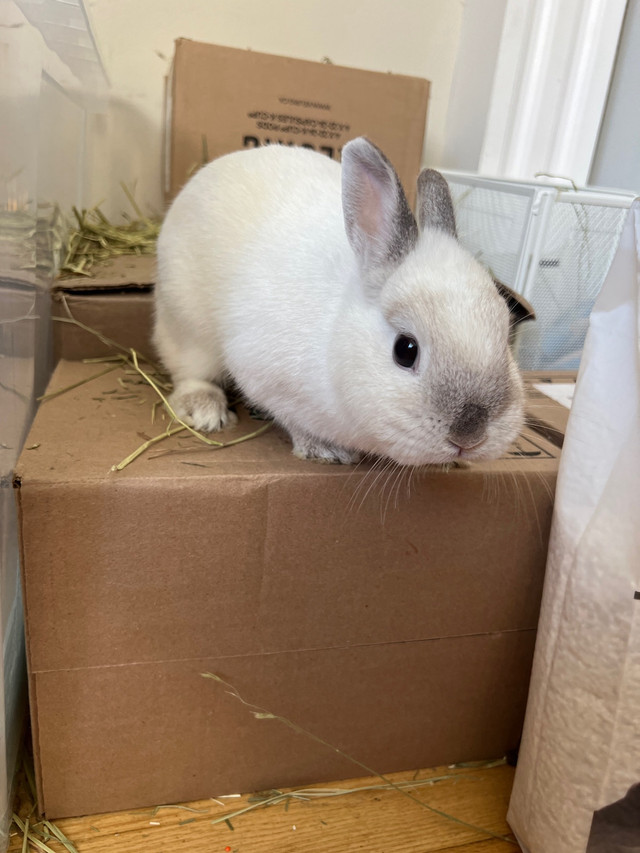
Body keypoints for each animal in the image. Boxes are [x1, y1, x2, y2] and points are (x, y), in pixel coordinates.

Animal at [155, 136, 524, 462]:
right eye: (405, 350)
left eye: (506, 339)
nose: (470, 434)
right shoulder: (265, 376)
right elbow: (292, 418)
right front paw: (324, 450)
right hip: (188, 325)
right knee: (188, 369)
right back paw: (206, 411)